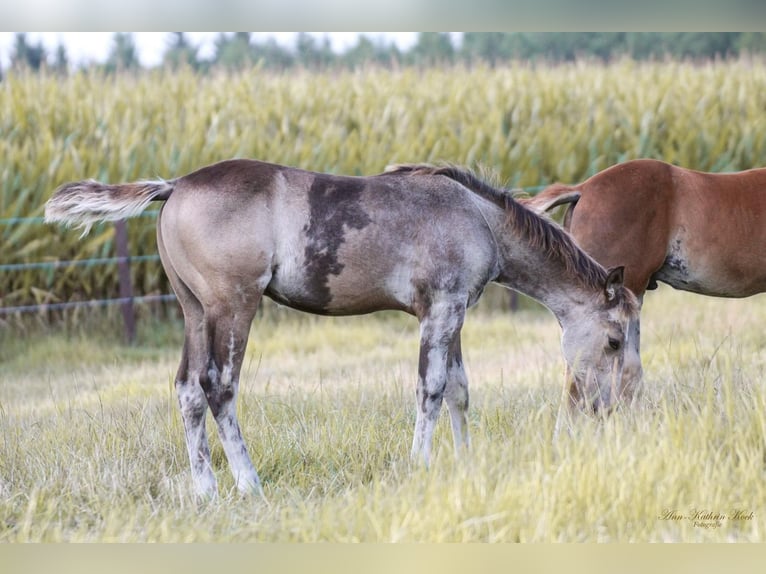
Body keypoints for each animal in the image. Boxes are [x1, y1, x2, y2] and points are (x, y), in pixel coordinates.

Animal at [45, 159, 639, 498]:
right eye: (613, 340)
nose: (606, 408)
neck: (477, 217)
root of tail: (175, 186)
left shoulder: (453, 316)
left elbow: (459, 391)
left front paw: (466, 464)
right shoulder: (442, 311)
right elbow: (431, 388)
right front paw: (421, 465)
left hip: (195, 313)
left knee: (189, 390)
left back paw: (206, 491)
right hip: (232, 309)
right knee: (219, 387)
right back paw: (248, 484)